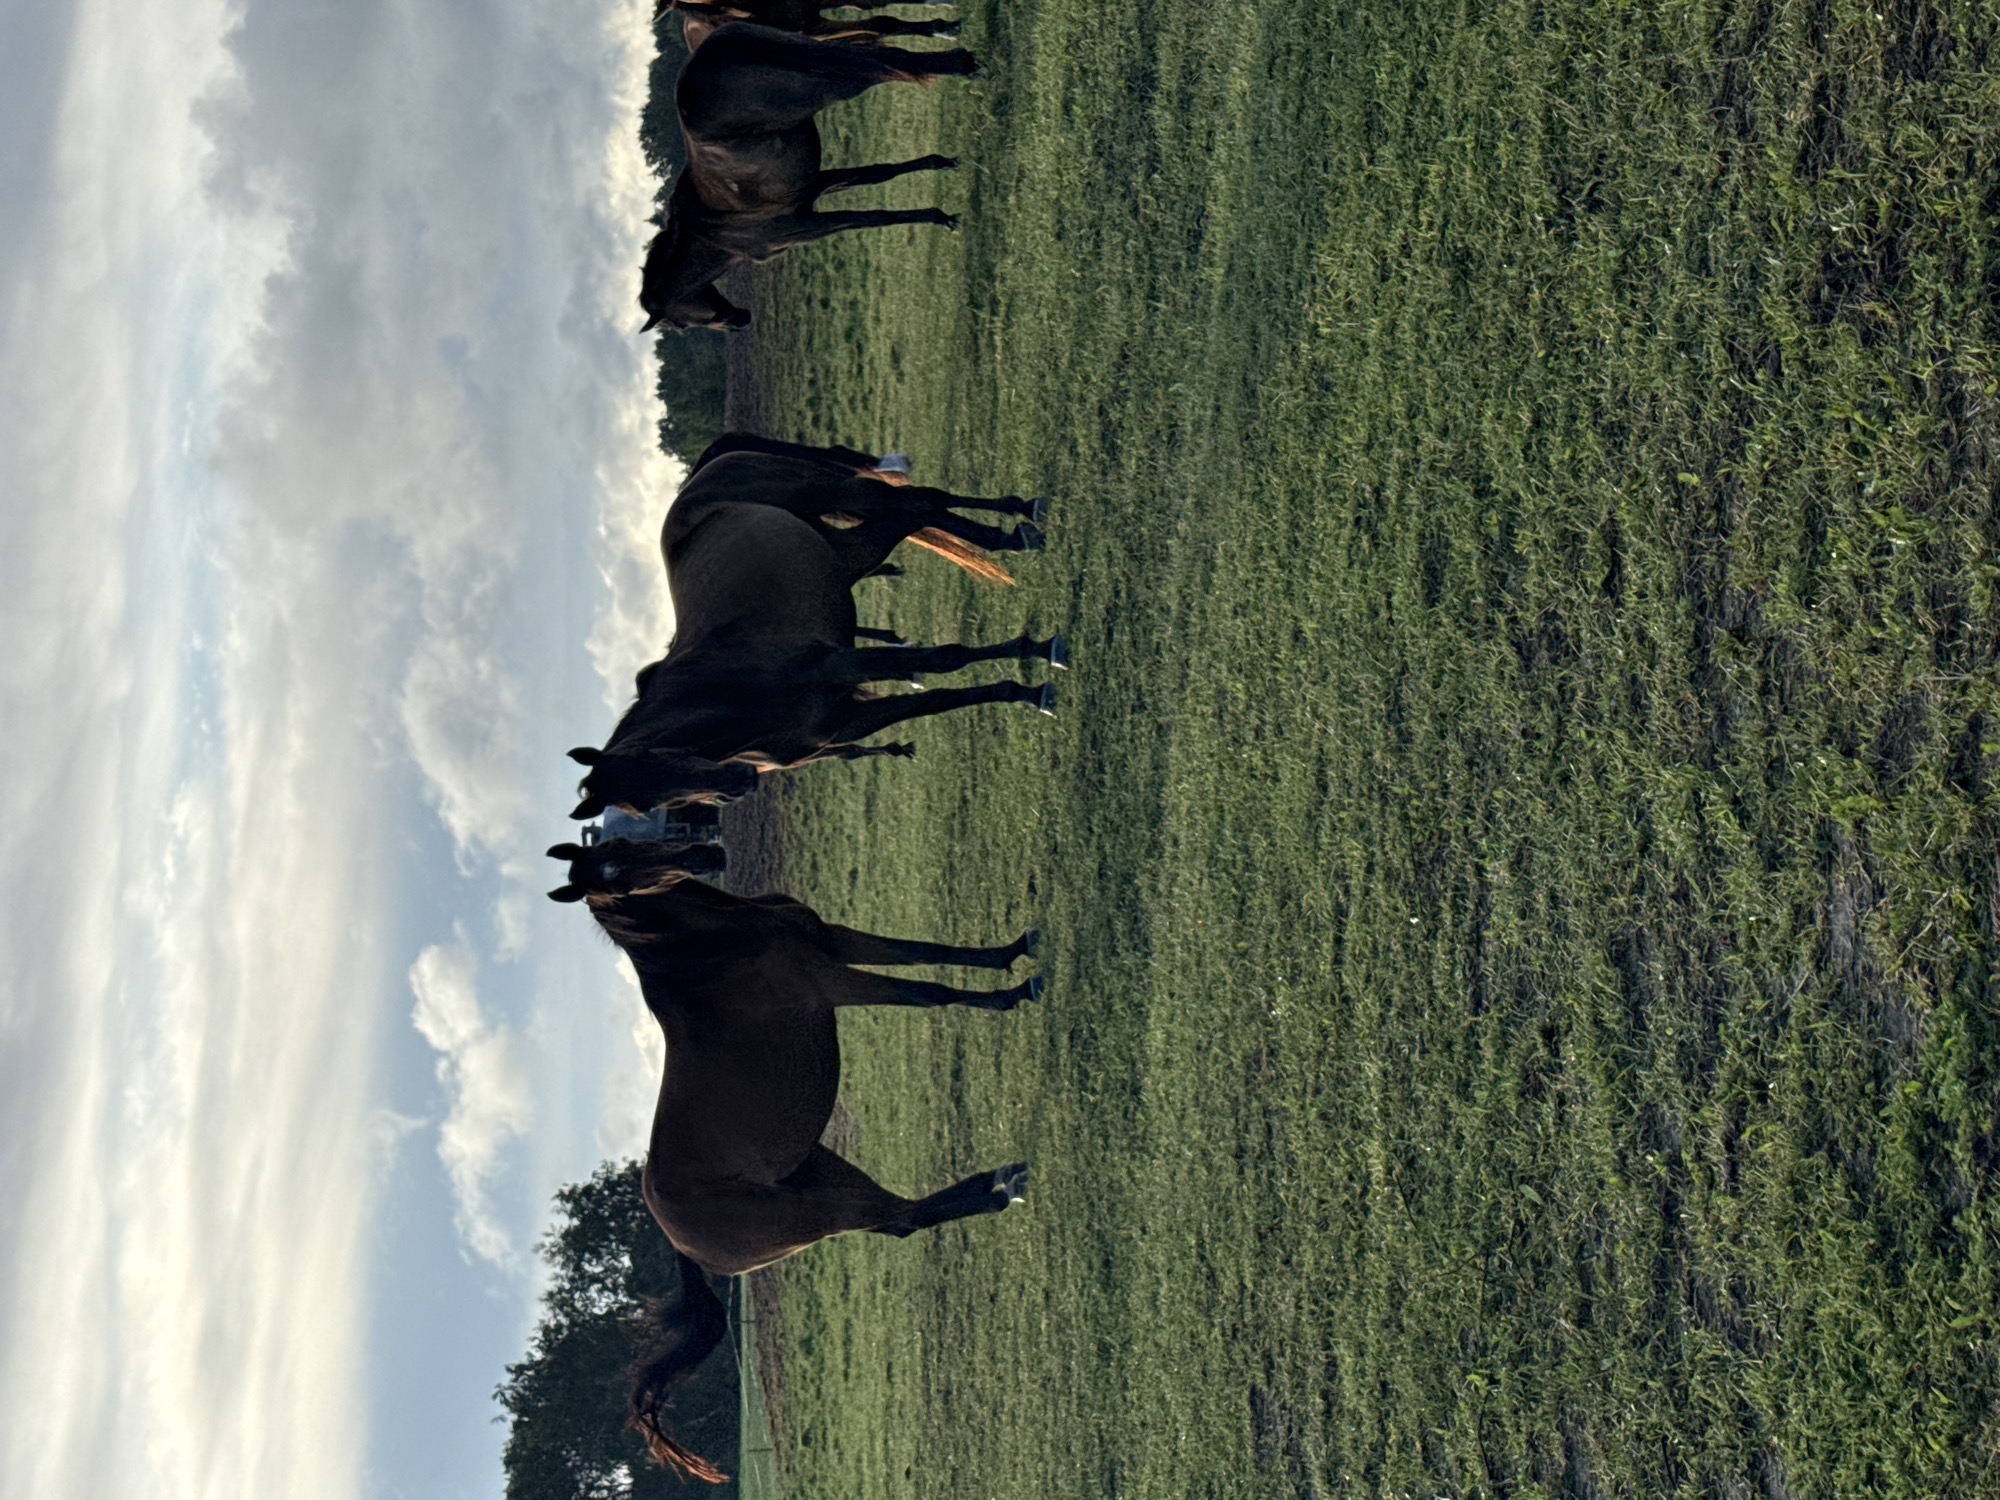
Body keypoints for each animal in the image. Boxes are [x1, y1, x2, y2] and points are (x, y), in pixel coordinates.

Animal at [545, 837, 1036, 1481]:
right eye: (610, 877)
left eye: (621, 848)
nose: (705, 849)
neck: (711, 948)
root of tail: (677, 1236)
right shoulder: (830, 978)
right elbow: (933, 993)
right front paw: (1014, 993)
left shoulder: (837, 942)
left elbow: (928, 951)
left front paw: (1015, 951)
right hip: (812, 1216)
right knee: (901, 1219)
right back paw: (1001, 1188)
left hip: (821, 1175)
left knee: (900, 1217)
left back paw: (999, 1181)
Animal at [568, 447, 1063, 818]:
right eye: (648, 807)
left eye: (656, 757)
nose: (736, 784)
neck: (728, 689)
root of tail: (709, 467)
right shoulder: (846, 720)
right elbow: (936, 700)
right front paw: (1022, 679)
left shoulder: (839, 665)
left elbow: (944, 660)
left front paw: (1035, 665)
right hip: (844, 551)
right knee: (917, 511)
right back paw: (1012, 534)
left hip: (842, 497)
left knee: (919, 501)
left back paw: (1018, 516)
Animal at [640, 22, 975, 332]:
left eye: (679, 326)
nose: (742, 321)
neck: (710, 234)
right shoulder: (815, 187)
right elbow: (881, 174)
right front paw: (939, 186)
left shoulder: (803, 228)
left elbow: (871, 218)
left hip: (832, 84)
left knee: (889, 65)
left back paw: (961, 62)